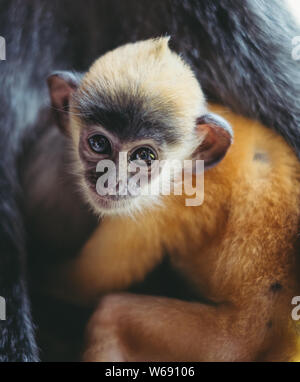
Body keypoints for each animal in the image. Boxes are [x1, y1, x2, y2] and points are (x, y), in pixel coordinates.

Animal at [45, 38, 300, 362]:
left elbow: (88, 283)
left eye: (144, 156)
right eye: (99, 143)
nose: (111, 181)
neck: (185, 168)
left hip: (229, 343)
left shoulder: (156, 213)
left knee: (109, 314)